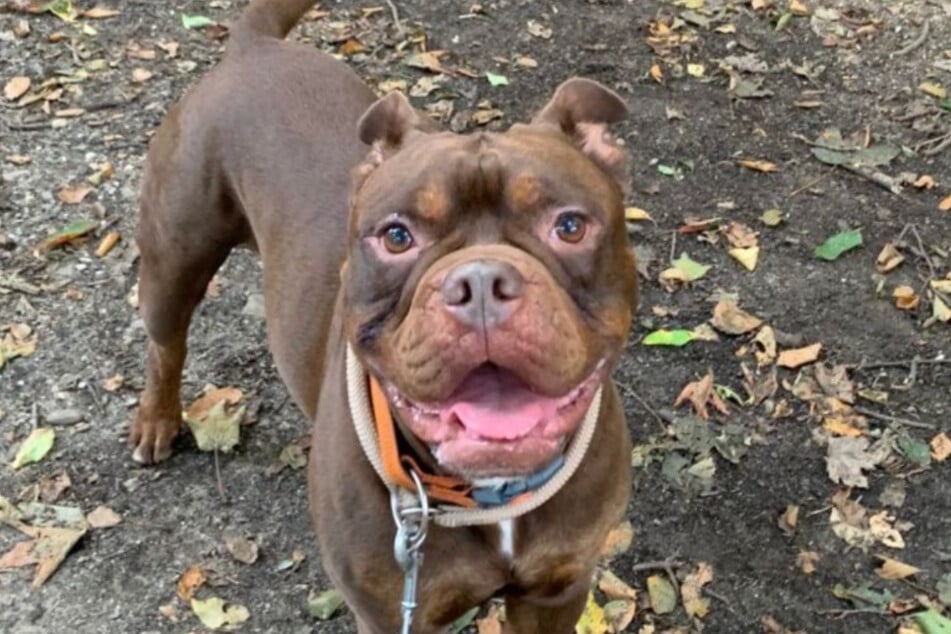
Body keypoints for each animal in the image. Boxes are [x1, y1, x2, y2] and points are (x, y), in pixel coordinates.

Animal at [132, 1, 640, 632]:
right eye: (397, 236)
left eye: (569, 226)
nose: (479, 283)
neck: (487, 496)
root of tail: (252, 47)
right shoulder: (387, 612)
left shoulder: (556, 591)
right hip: (175, 256)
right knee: (166, 342)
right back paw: (156, 420)